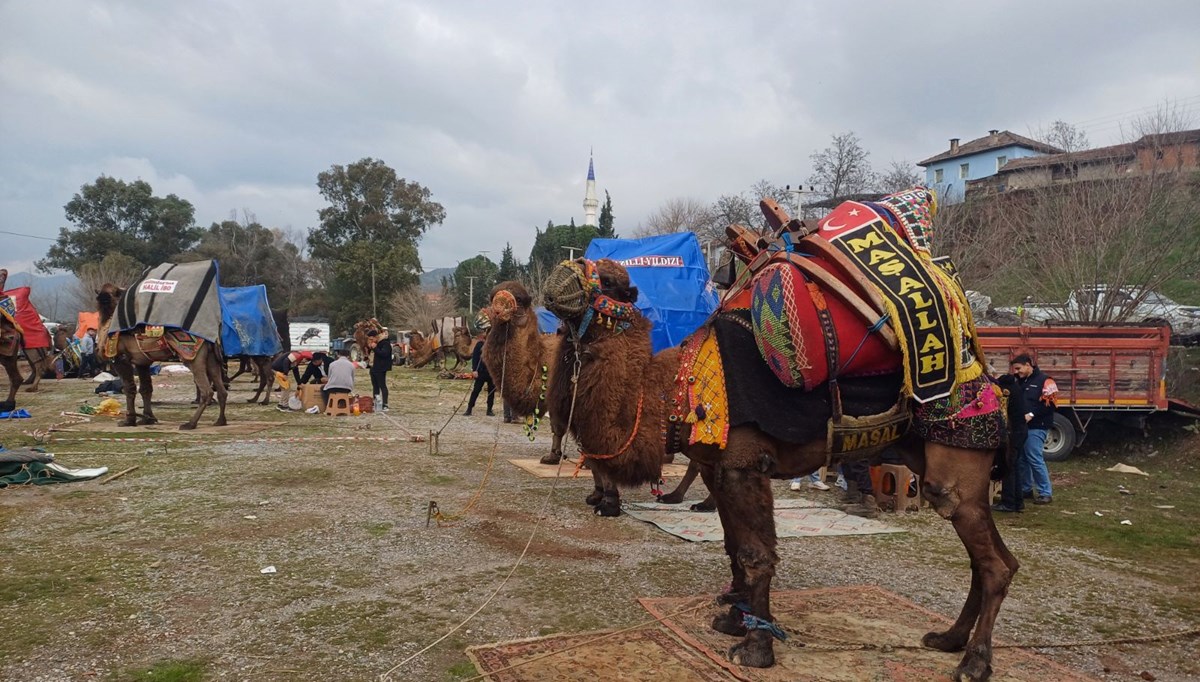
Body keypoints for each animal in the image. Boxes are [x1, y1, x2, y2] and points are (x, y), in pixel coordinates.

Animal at [96, 282, 229, 432]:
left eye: (108, 299)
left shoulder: (121, 358)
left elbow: (129, 389)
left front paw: (129, 421)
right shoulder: (142, 361)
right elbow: (146, 389)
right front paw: (148, 419)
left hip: (192, 356)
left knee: (207, 391)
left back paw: (190, 424)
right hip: (212, 358)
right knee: (222, 390)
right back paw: (220, 421)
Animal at [532, 186, 1012, 682]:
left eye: (610, 281)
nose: (557, 277)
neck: (673, 387)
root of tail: (985, 371)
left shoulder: (744, 464)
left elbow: (756, 554)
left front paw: (756, 647)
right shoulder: (718, 468)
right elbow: (733, 544)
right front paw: (733, 619)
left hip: (956, 463)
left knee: (994, 563)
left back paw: (974, 661)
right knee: (989, 559)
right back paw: (948, 639)